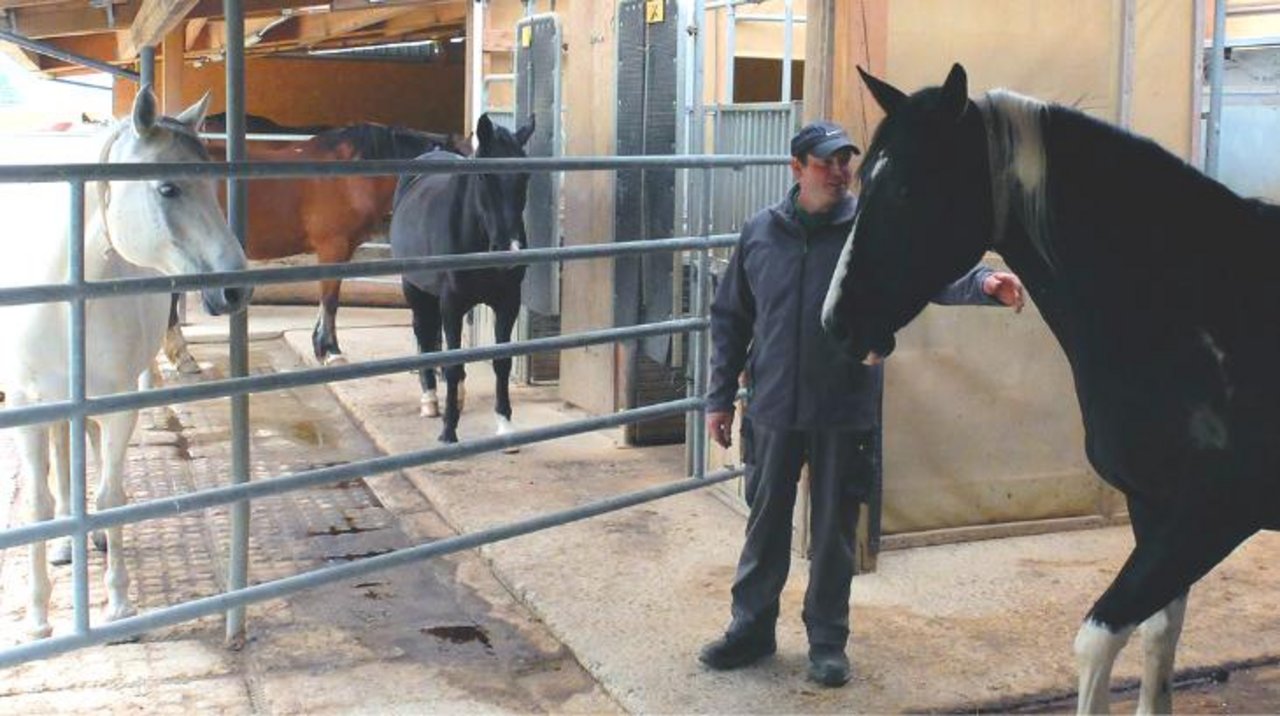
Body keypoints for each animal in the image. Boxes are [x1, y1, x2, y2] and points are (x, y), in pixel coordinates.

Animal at [0, 87, 252, 639]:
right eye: (168, 189)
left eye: (214, 186)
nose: (235, 288)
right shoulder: (27, 406)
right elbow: (38, 504)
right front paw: (37, 617)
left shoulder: (117, 403)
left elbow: (110, 496)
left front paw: (118, 607)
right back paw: (65, 546)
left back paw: (86, 540)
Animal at [161, 122, 471, 370]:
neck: (352, 174)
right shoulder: (332, 247)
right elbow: (330, 299)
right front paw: (331, 351)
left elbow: (327, 300)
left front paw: (321, 346)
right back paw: (183, 358)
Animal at [389, 113, 534, 445]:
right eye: (484, 177)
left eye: (525, 177)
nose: (510, 248)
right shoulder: (452, 303)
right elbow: (454, 364)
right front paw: (448, 431)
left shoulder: (508, 301)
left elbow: (501, 361)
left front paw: (504, 424)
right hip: (414, 288)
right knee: (423, 332)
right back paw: (430, 400)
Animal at [820, 63, 1280, 714]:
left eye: (908, 189)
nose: (836, 321)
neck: (1198, 312)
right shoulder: (1155, 508)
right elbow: (1160, 634)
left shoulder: (1212, 513)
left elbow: (1098, 639)